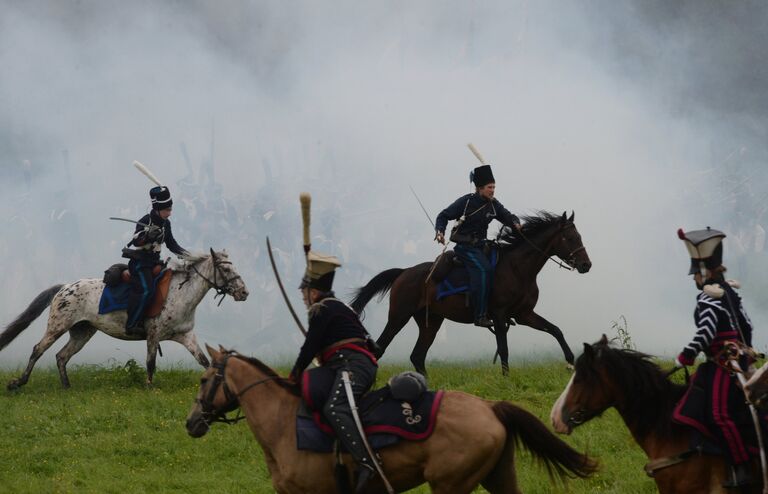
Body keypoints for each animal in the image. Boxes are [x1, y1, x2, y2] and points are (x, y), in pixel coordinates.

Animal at [0, 251, 248, 390]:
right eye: (225, 269)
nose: (244, 293)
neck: (180, 294)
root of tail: (64, 287)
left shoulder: (186, 336)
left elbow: (205, 361)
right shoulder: (153, 334)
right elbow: (150, 362)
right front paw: (149, 387)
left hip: (82, 332)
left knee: (61, 356)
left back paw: (67, 387)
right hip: (57, 326)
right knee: (38, 349)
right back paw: (18, 383)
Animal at [188, 344, 600, 494]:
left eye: (205, 379)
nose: (191, 423)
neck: (284, 424)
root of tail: (489, 406)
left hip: (449, 486)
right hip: (499, 476)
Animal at [352, 210, 592, 376]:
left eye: (579, 236)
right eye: (570, 238)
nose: (586, 265)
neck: (517, 268)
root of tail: (403, 272)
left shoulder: (524, 315)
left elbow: (555, 330)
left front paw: (571, 361)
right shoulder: (500, 316)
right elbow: (503, 349)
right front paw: (506, 379)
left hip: (431, 322)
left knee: (417, 356)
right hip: (399, 317)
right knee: (380, 349)